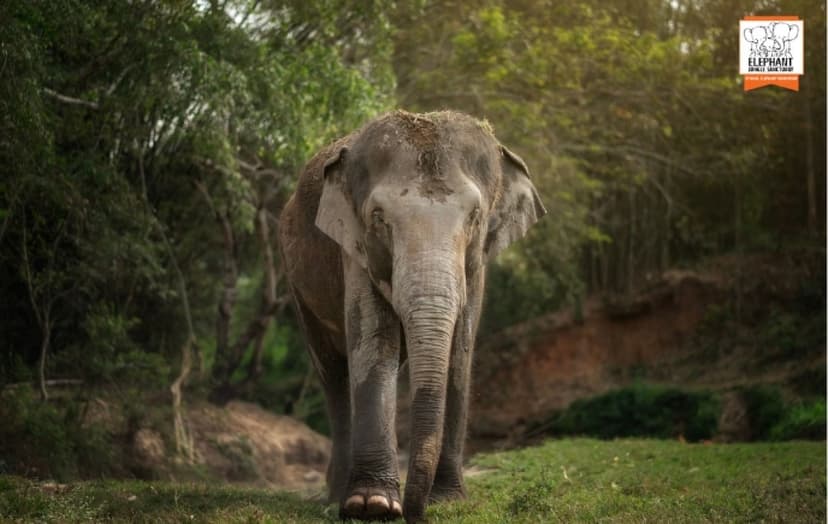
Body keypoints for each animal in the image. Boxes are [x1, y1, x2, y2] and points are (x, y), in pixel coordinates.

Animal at [278, 110, 546, 522]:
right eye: (378, 218)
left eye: (476, 216)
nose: (413, 512)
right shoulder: (354, 248)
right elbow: (374, 344)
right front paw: (372, 506)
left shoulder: (476, 266)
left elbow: (459, 353)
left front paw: (447, 501)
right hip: (296, 285)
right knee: (333, 374)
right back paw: (336, 494)